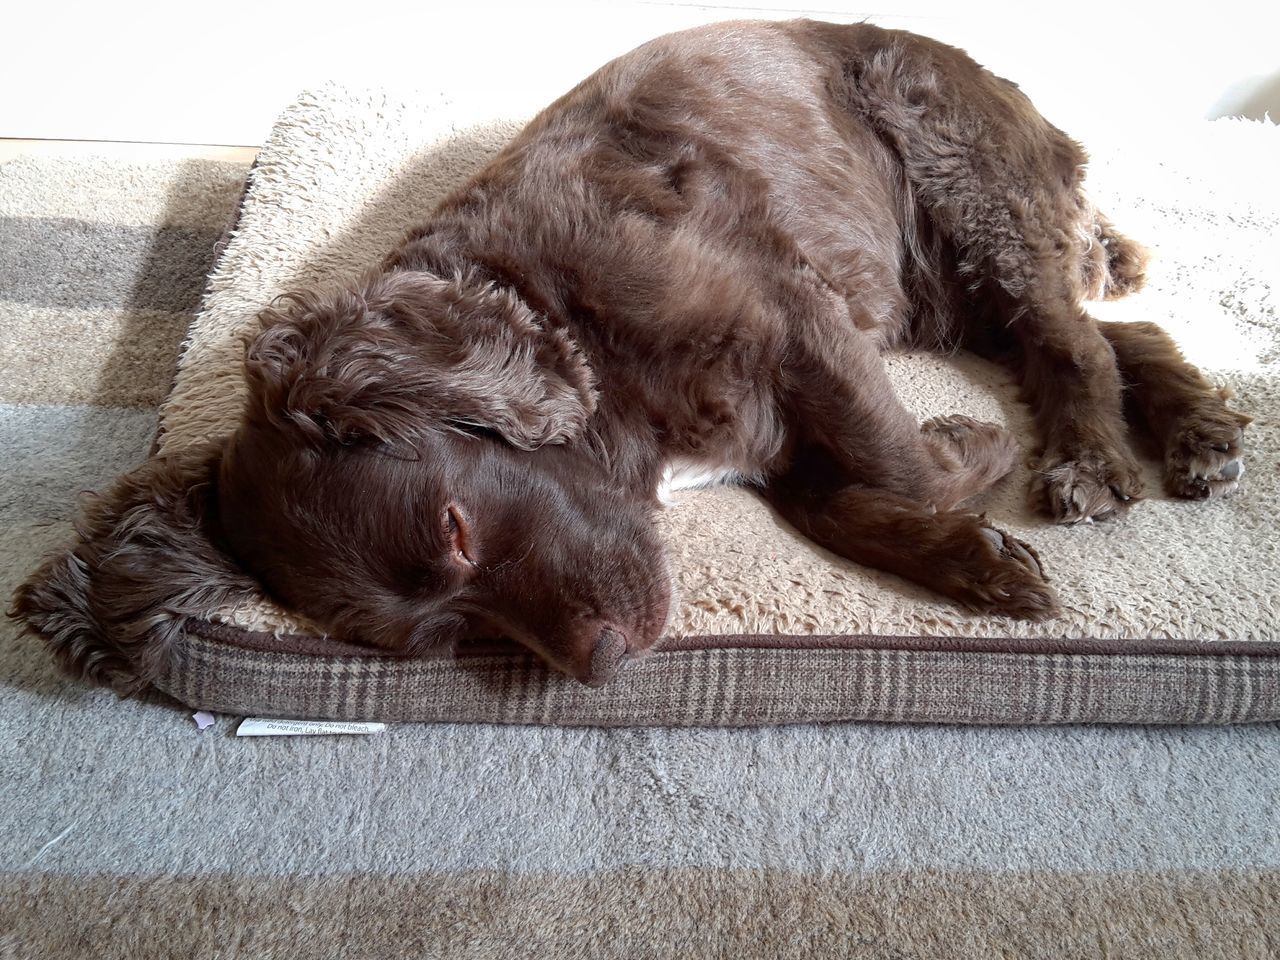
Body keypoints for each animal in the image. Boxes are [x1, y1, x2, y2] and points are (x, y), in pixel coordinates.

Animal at [10, 18, 1249, 686]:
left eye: (456, 531)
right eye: (432, 635)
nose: (602, 668)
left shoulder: (796, 320)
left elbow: (883, 463)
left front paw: (970, 466)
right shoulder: (803, 389)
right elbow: (837, 501)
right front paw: (969, 540)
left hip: (958, 182)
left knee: (1071, 342)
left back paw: (1094, 459)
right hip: (938, 287)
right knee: (1114, 332)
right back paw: (1194, 428)